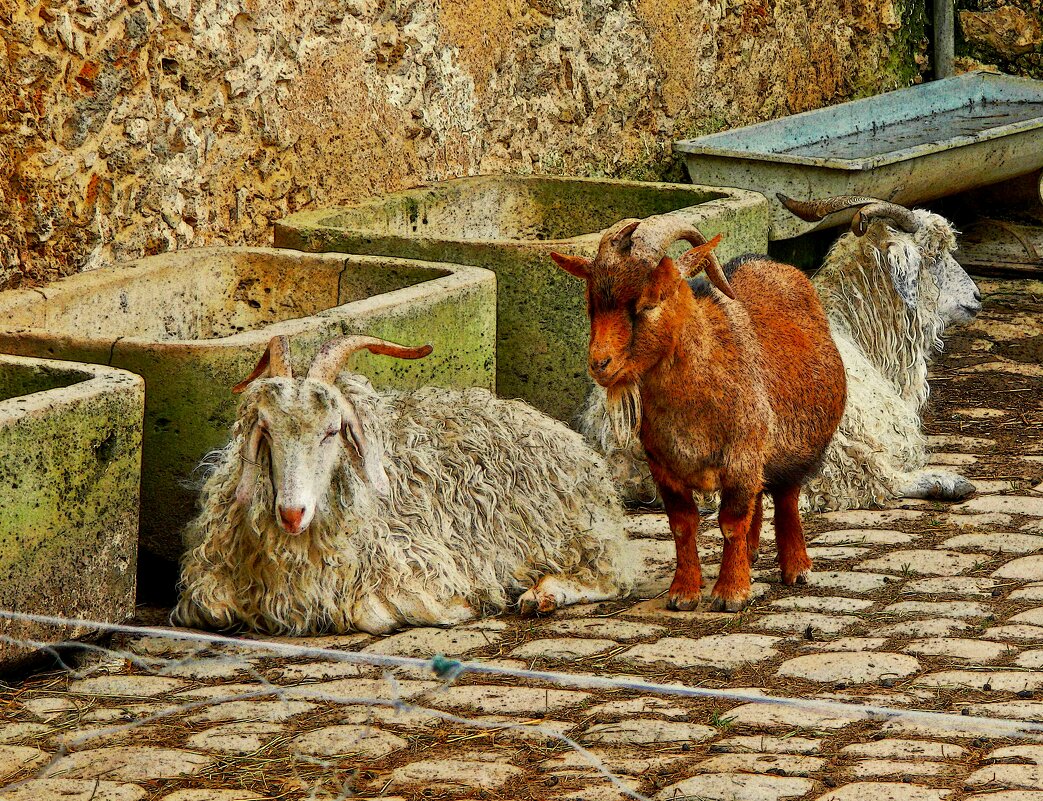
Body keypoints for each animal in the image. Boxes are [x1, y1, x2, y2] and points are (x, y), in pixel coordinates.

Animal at [174, 331, 629, 634]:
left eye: (332, 430)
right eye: (265, 429)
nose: (291, 513)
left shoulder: (419, 563)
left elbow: (373, 613)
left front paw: (462, 605)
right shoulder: (207, 586)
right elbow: (214, 611)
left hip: (570, 531)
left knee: (609, 576)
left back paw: (543, 595)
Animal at [550, 215, 842, 609]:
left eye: (649, 302)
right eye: (591, 303)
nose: (600, 364)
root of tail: (769, 262)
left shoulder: (742, 457)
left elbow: (731, 522)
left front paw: (731, 592)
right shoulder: (663, 465)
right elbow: (682, 524)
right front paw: (684, 592)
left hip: (798, 448)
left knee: (786, 499)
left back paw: (796, 567)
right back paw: (751, 555)